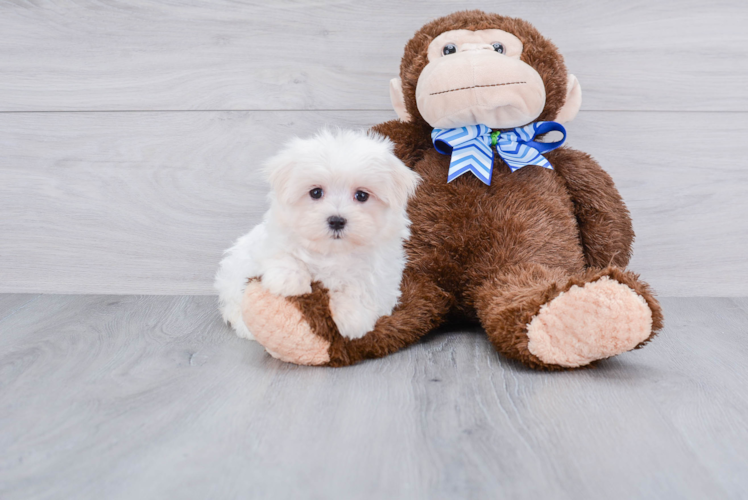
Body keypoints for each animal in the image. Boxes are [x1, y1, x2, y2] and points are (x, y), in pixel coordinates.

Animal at [215, 129, 420, 340]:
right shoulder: (270, 239)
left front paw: (353, 319)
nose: (336, 221)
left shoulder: (382, 277)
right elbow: (282, 252)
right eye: (315, 192)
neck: (332, 251)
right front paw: (289, 281)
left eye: (362, 195)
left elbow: (361, 288)